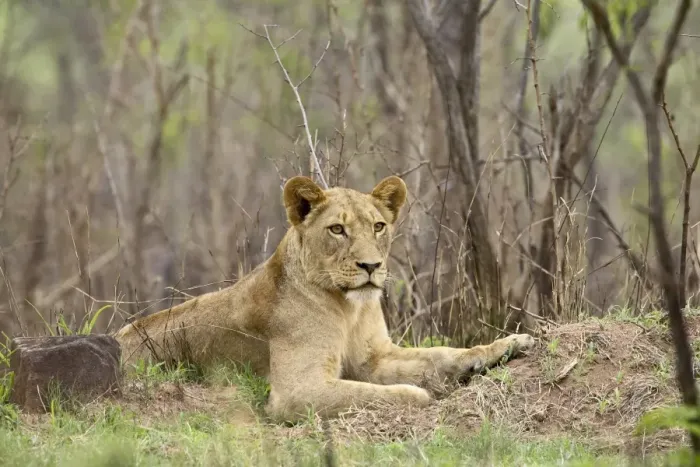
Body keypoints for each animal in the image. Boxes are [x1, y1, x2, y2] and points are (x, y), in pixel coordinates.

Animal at [115, 175, 535, 422]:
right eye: (337, 230)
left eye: (378, 226)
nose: (371, 265)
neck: (350, 308)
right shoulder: (296, 389)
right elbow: (380, 394)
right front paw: (419, 396)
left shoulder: (375, 357)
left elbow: (444, 354)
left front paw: (508, 345)